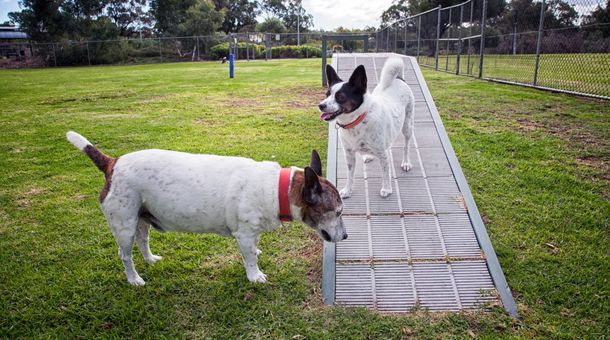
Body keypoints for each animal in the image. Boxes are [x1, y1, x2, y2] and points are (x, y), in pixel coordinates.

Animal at [318, 57, 414, 198]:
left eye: (340, 97)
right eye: (326, 94)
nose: (320, 105)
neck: (356, 121)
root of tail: (399, 79)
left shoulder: (382, 154)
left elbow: (386, 172)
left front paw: (386, 189)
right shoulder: (349, 154)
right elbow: (350, 175)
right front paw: (347, 190)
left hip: (407, 126)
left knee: (406, 145)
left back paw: (406, 162)